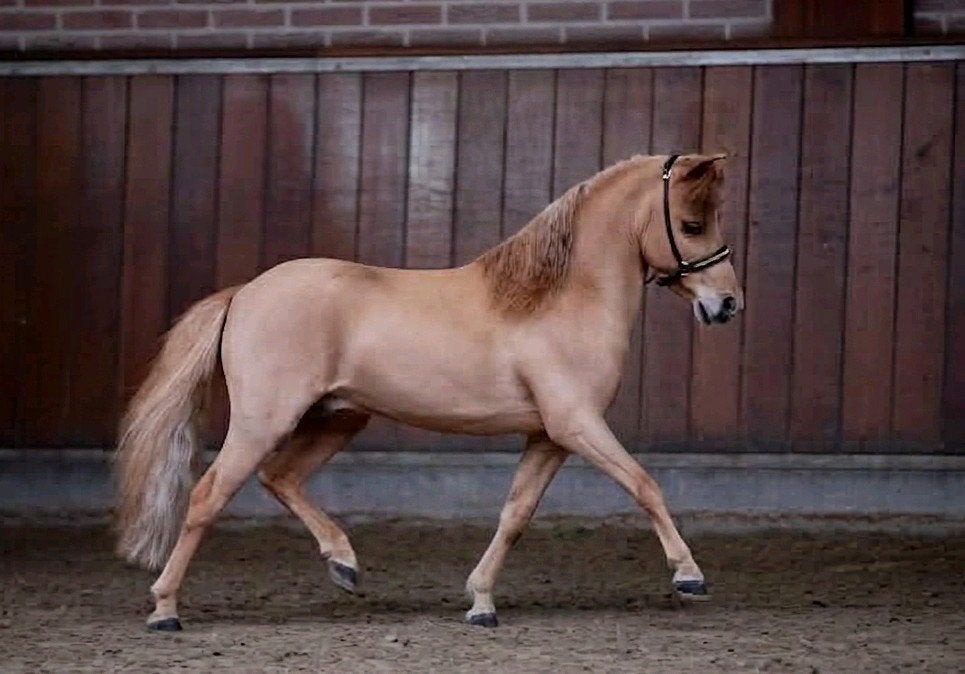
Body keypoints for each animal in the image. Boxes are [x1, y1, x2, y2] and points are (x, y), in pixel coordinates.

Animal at [115, 153, 743, 631]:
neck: (558, 298)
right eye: (691, 225)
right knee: (208, 495)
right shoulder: (576, 424)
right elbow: (645, 485)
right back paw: (165, 610)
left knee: (281, 477)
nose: (727, 304)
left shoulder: (548, 436)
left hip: (337, 417)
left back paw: (344, 565)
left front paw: (481, 603)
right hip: (263, 421)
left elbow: (515, 514)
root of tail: (245, 292)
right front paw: (689, 576)